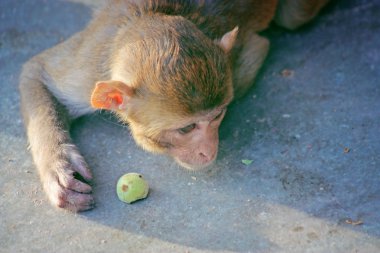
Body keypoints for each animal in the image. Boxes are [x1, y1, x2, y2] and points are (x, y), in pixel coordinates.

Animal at [19, 0, 330, 211]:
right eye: (187, 128)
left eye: (217, 116)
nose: (209, 151)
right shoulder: (91, 68)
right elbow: (37, 70)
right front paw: (59, 168)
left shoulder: (241, 63)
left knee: (293, 17)